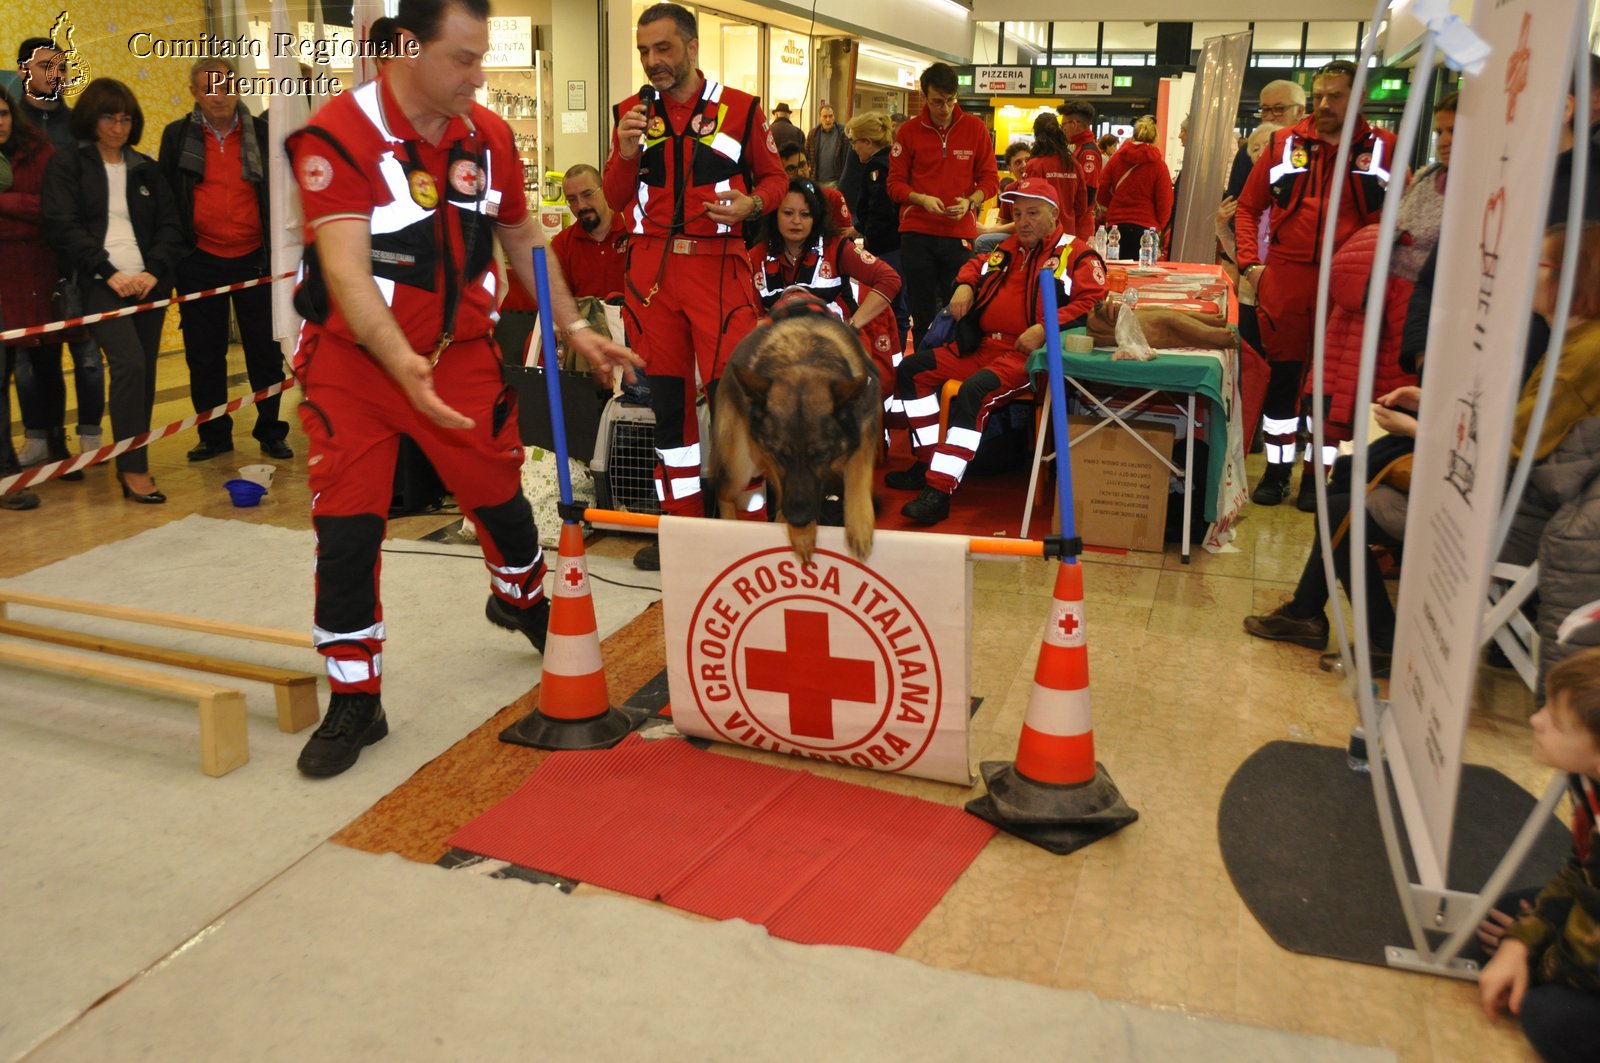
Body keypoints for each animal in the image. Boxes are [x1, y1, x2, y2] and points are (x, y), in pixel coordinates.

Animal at [716, 294, 883, 563]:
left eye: (820, 453)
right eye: (781, 454)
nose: (799, 518)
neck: (803, 357)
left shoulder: (865, 425)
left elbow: (858, 472)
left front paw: (859, 523)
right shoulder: (770, 456)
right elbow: (784, 484)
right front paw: (802, 534)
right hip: (740, 466)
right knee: (724, 491)